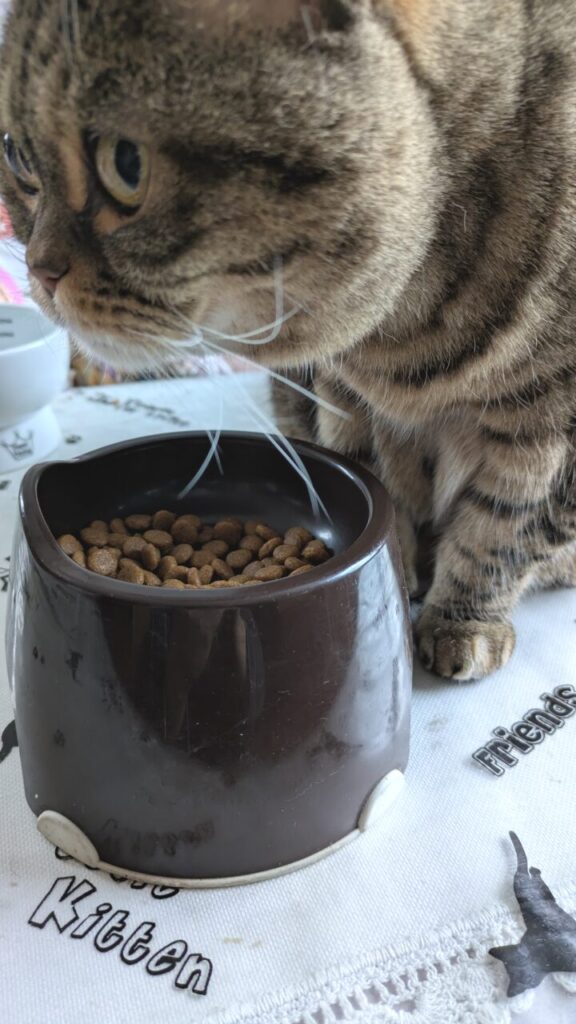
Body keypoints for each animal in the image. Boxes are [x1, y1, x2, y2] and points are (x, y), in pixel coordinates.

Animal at [1, 0, 575, 681]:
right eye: (16, 156)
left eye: (127, 165)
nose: (38, 271)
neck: (407, 326)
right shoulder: (345, 400)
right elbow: (386, 494)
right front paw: (397, 580)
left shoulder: (549, 438)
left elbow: (502, 531)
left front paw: (461, 621)